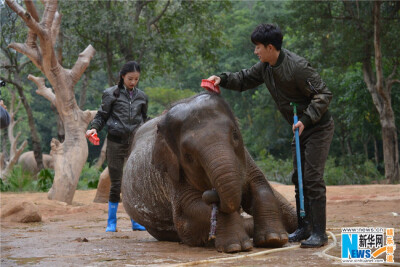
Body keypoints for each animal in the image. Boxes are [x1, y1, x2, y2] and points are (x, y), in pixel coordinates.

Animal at [122, 92, 296, 253]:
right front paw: (235, 247)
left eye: (235, 135)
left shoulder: (246, 157)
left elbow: (259, 184)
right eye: (188, 156)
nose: (211, 192)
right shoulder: (171, 176)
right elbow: (190, 212)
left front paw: (273, 239)